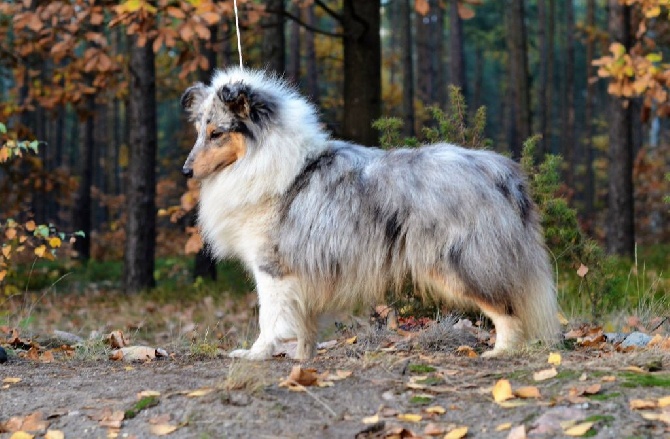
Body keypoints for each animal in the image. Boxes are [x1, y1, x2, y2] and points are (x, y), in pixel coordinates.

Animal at [180, 66, 560, 360]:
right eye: (199, 131)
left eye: (217, 133)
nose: (186, 171)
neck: (268, 159)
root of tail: (501, 172)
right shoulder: (301, 274)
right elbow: (303, 325)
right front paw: (302, 359)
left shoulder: (273, 268)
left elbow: (269, 319)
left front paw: (256, 354)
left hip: (460, 263)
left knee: (507, 308)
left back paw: (500, 351)